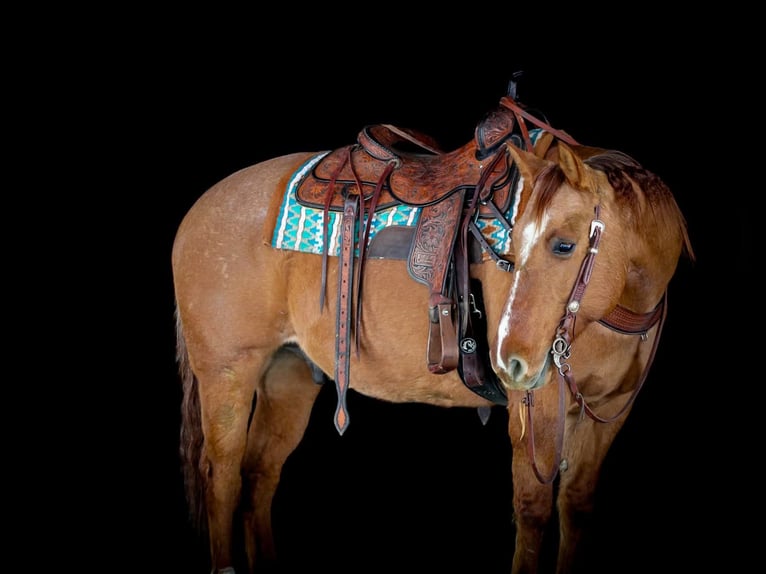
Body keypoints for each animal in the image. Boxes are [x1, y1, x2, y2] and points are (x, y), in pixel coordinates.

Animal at [172, 89, 694, 574]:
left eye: (564, 245)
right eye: (510, 247)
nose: (511, 362)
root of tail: (198, 210)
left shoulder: (608, 413)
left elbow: (577, 506)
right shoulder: (538, 408)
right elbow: (533, 510)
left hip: (289, 374)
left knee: (260, 473)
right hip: (228, 373)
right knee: (222, 473)